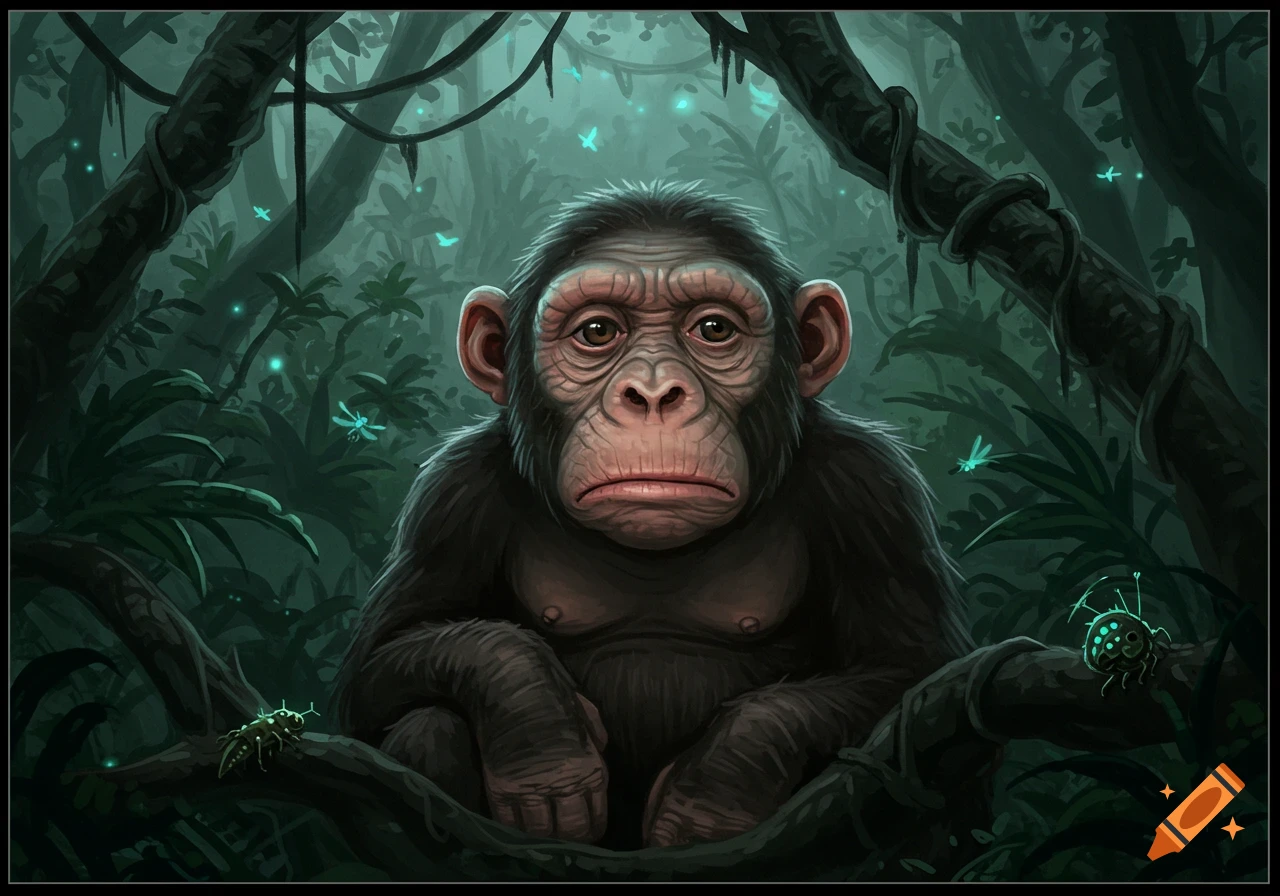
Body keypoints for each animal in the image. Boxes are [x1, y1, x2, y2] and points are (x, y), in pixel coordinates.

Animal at [332, 180, 977, 852]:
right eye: (596, 332)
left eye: (714, 329)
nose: (652, 392)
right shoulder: (454, 497)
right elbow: (379, 664)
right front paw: (542, 742)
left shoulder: (870, 489)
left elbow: (913, 670)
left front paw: (719, 787)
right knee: (427, 724)